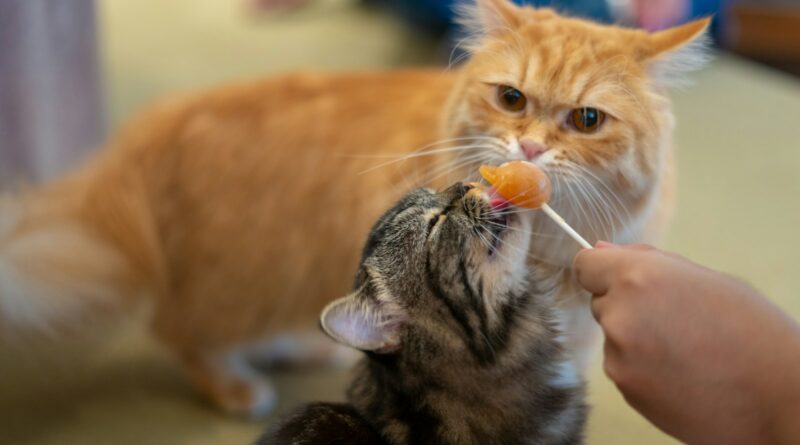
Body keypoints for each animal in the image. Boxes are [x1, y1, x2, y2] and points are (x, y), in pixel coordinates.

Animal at [3, 0, 708, 416]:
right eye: (511, 98)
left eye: (587, 120)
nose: (530, 147)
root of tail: (145, 131)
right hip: (242, 283)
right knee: (176, 330)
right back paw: (237, 387)